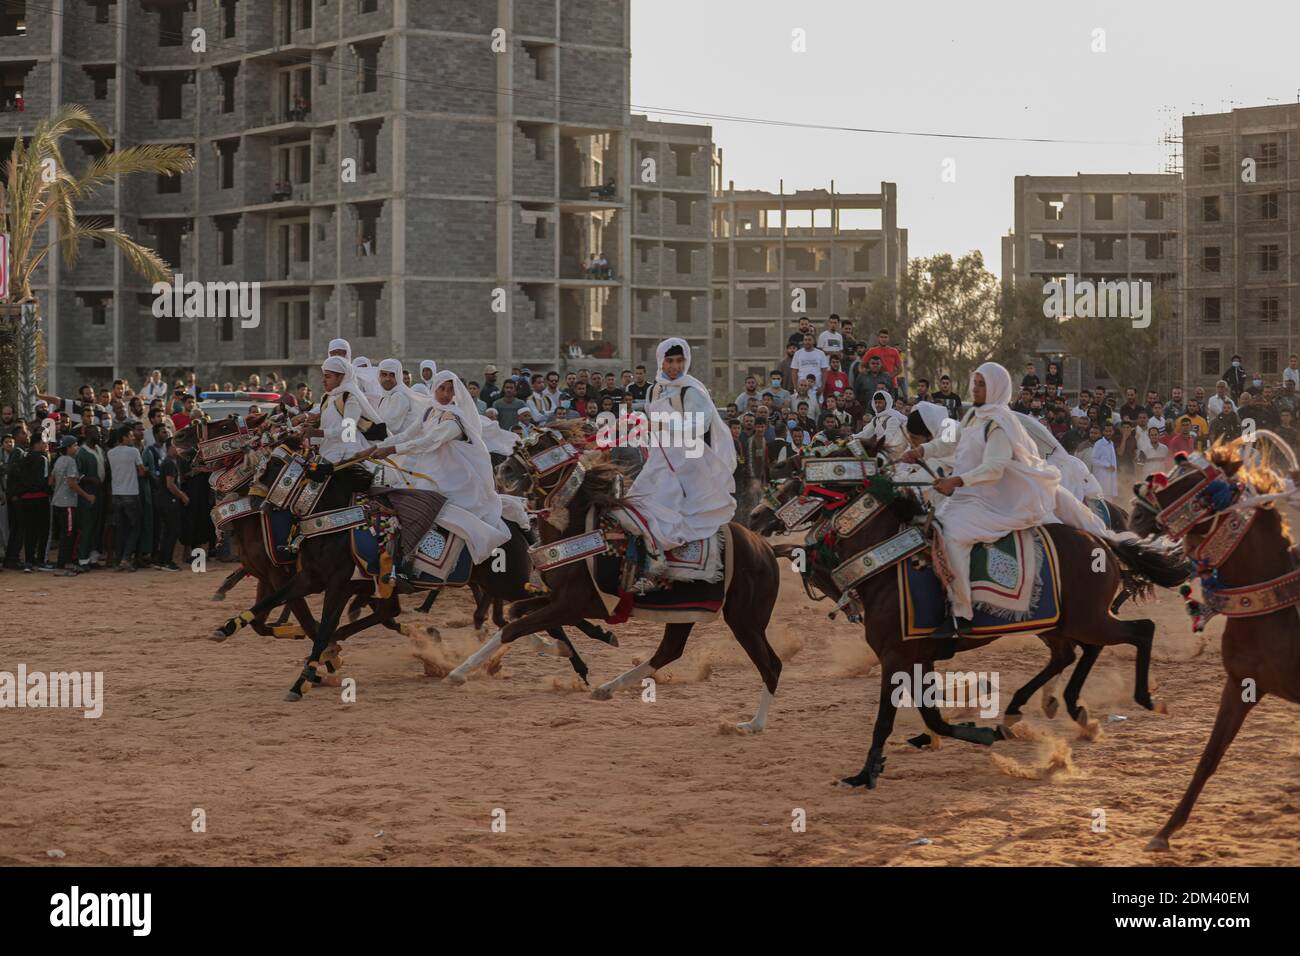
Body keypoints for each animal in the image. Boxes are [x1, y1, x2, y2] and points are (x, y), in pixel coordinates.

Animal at [452, 421, 780, 733]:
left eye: (541, 446)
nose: (503, 469)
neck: (578, 531)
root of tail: (764, 548)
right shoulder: (559, 599)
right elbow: (515, 613)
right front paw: (563, 646)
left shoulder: (578, 604)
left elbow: (512, 628)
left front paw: (458, 672)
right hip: (688, 611)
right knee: (669, 651)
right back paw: (607, 689)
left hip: (745, 618)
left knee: (771, 665)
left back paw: (755, 724)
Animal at [1128, 442, 1300, 853]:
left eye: (1192, 481)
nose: (1135, 512)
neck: (1275, 613)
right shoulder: (1240, 685)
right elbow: (1209, 757)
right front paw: (1165, 830)